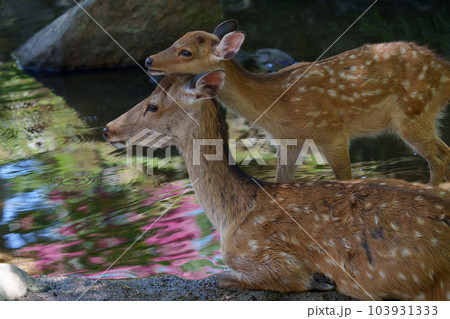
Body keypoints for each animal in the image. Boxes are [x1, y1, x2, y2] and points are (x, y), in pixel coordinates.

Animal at [104, 70, 450, 302]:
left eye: (152, 105)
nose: (108, 129)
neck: (231, 215)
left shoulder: (268, 258)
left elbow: (223, 278)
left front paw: (319, 280)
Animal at [144, 18, 450, 186]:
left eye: (186, 51)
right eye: (176, 40)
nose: (148, 60)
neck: (276, 103)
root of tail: (443, 68)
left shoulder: (331, 132)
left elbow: (345, 180)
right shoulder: (287, 143)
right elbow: (281, 182)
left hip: (413, 113)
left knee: (439, 157)